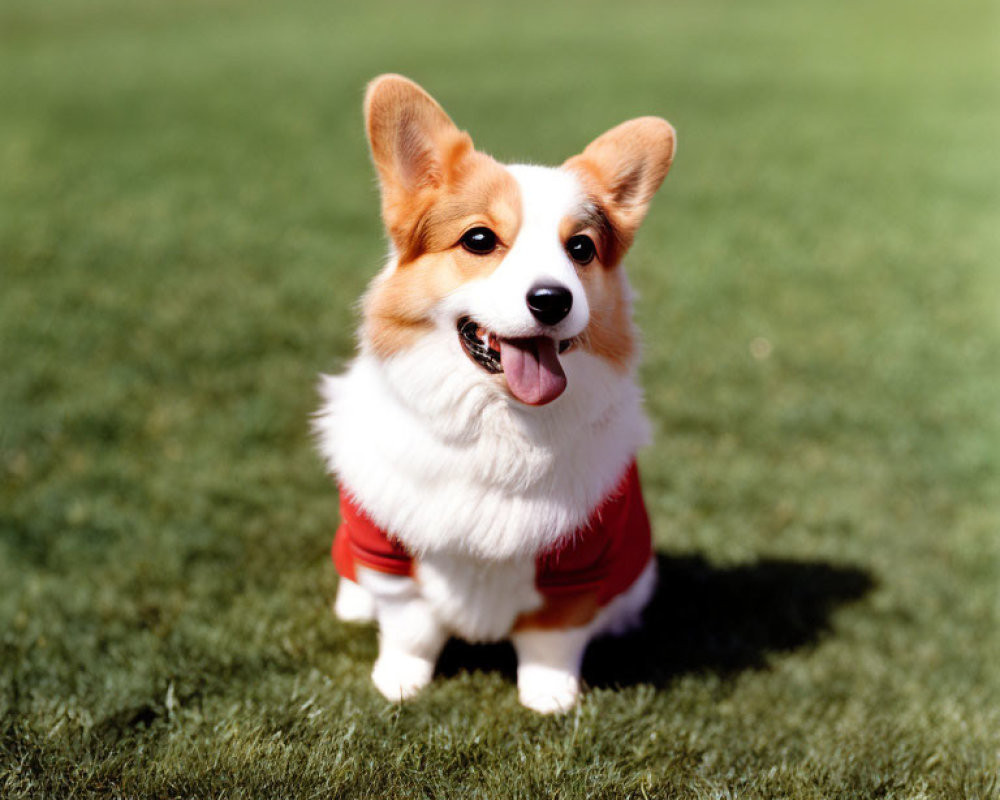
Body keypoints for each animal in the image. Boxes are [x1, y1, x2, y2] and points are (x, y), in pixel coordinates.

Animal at [316, 75, 676, 712]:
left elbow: (551, 639)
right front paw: (400, 683)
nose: (553, 300)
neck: (499, 422)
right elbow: (409, 627)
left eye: (581, 250)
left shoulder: (580, 562)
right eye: (479, 240)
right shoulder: (387, 549)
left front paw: (550, 698)